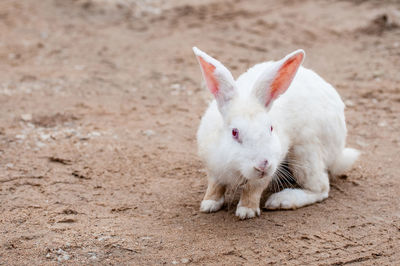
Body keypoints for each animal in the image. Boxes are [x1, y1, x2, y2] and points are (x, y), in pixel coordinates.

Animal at [192, 46, 360, 219]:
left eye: (271, 128)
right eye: (234, 132)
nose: (263, 164)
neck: (236, 167)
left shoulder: (266, 173)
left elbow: (252, 190)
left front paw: (246, 211)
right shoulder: (212, 167)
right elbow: (215, 186)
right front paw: (209, 204)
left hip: (306, 154)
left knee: (321, 188)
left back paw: (281, 200)